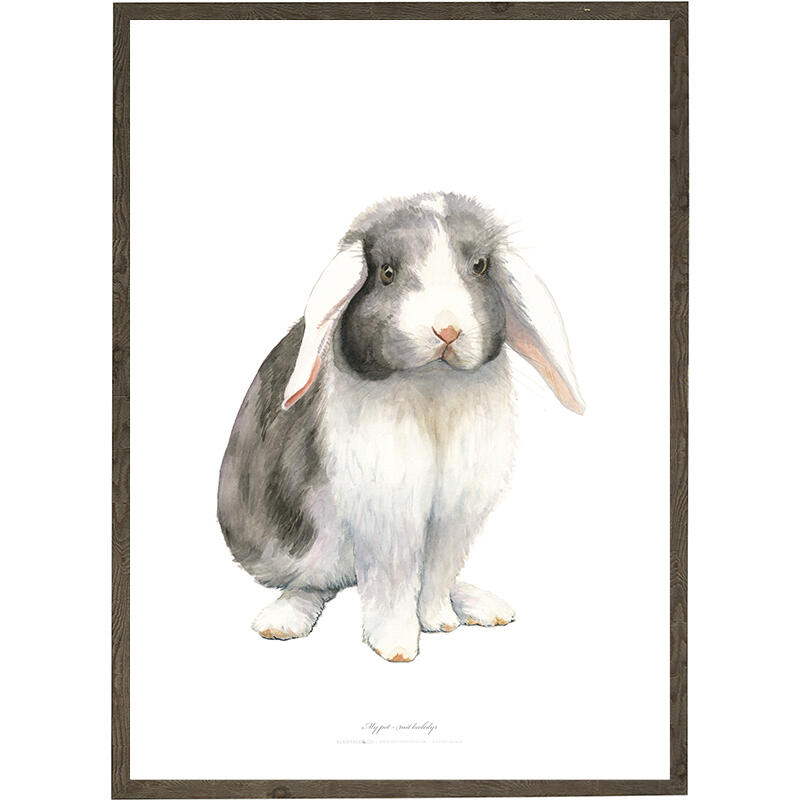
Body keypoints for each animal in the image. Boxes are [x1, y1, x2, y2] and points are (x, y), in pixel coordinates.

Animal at [217, 192, 584, 662]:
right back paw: (280, 624)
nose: (447, 329)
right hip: (306, 549)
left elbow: (438, 572)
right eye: (387, 273)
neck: (432, 385)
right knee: (315, 584)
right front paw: (396, 647)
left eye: (480, 266)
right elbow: (392, 579)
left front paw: (439, 622)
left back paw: (486, 607)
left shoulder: (453, 512)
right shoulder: (388, 510)